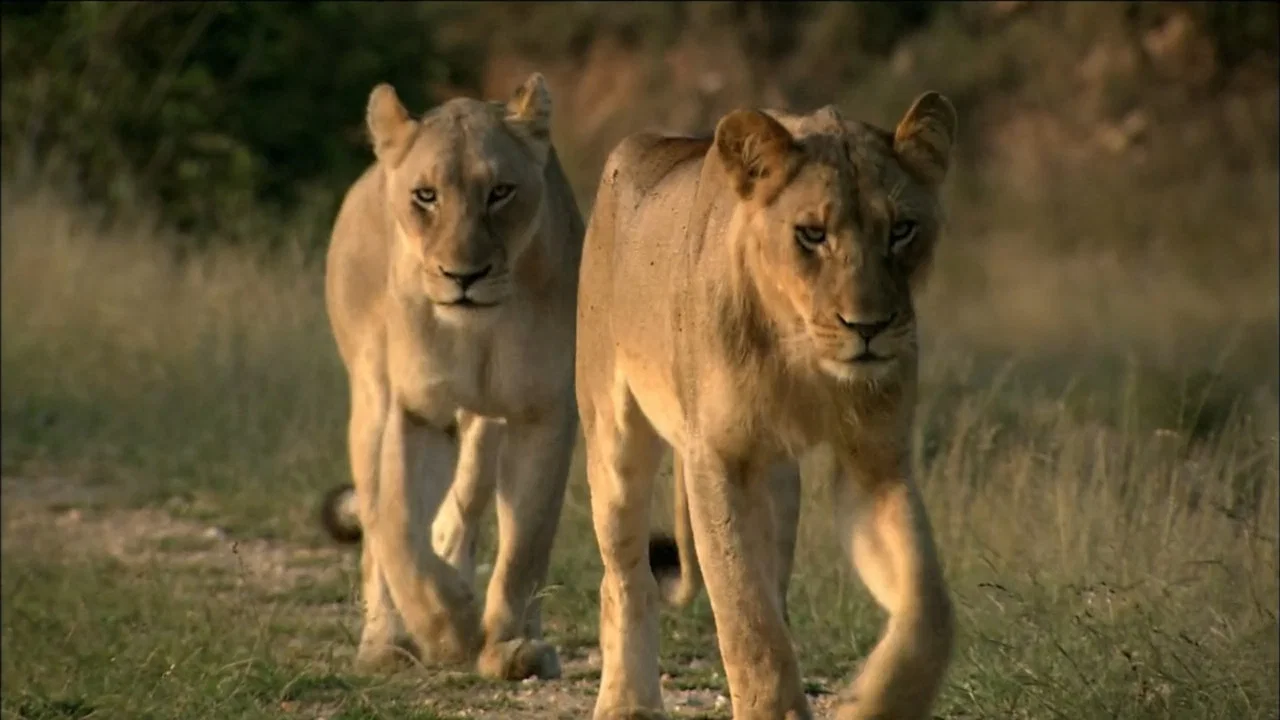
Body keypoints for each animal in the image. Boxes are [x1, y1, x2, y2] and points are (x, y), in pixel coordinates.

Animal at [318, 72, 584, 683]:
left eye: (501, 192)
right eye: (426, 195)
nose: (465, 275)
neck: (478, 330)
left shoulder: (544, 413)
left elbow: (526, 544)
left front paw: (508, 645)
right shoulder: (414, 411)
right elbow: (394, 522)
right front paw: (449, 629)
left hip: (488, 421)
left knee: (467, 502)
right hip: (369, 397)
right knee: (378, 521)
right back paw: (385, 642)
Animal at [575, 92, 959, 720]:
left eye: (902, 230)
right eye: (812, 234)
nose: (869, 327)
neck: (800, 355)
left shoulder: (875, 463)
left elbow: (929, 609)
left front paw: (874, 702)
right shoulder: (716, 459)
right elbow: (746, 619)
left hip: (779, 481)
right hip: (614, 435)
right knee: (625, 577)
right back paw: (627, 703)